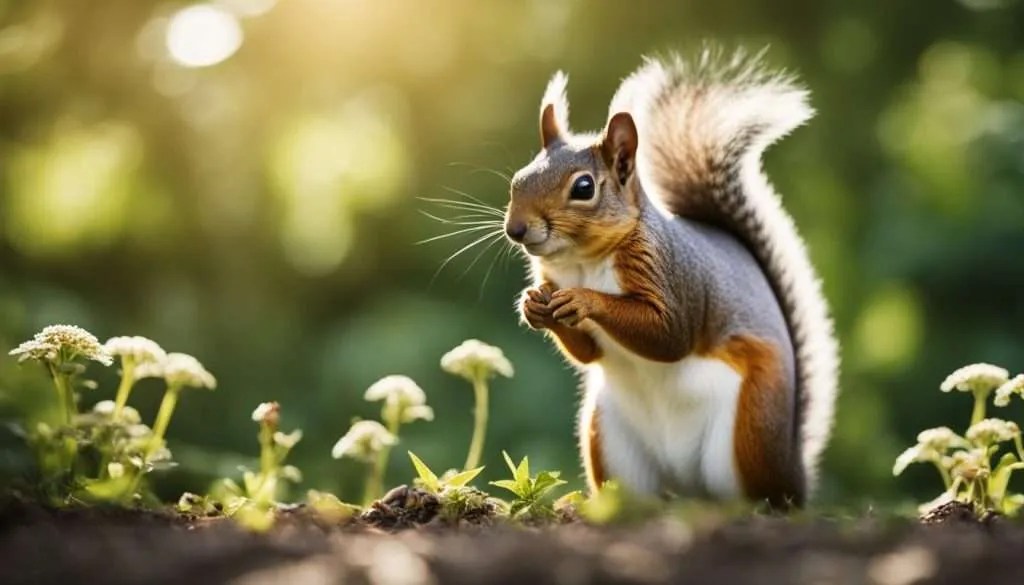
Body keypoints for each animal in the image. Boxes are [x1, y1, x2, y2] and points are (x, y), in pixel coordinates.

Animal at [503, 48, 839, 507]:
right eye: (518, 179)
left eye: (584, 188)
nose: (515, 229)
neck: (583, 262)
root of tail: (795, 470)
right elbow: (588, 353)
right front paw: (533, 305)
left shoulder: (674, 277)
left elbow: (669, 335)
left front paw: (584, 300)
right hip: (609, 439)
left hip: (748, 431)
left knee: (758, 497)